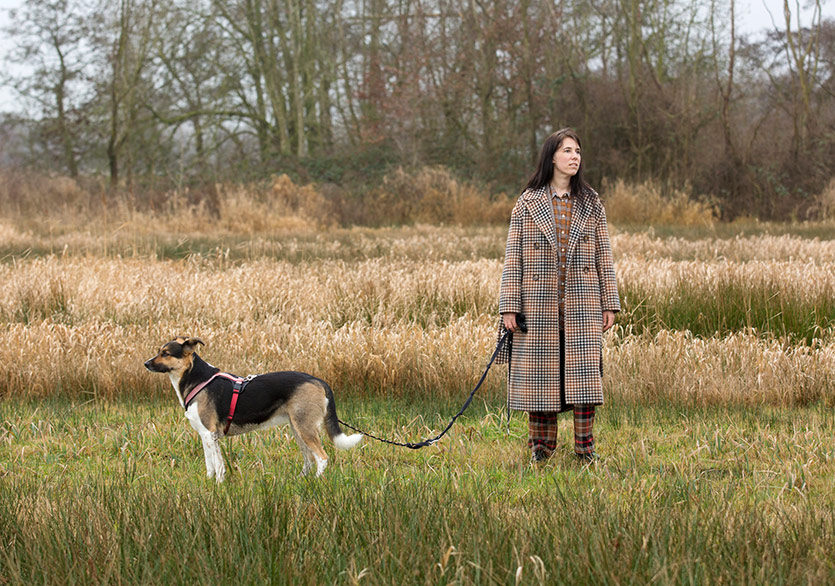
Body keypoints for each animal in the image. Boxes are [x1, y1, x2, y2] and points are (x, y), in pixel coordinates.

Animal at [143, 336, 362, 482]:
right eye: (159, 351)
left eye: (165, 353)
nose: (145, 363)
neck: (195, 378)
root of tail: (318, 381)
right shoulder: (206, 436)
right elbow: (210, 465)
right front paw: (209, 483)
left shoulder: (209, 433)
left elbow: (218, 466)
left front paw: (218, 487)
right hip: (298, 428)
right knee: (309, 459)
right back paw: (300, 480)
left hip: (304, 428)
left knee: (322, 458)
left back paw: (315, 482)